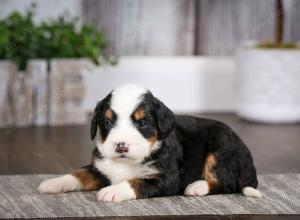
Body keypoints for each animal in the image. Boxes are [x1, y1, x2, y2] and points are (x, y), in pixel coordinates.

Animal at [39, 84, 260, 203]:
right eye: (108, 122)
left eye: (142, 123)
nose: (121, 145)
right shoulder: (100, 168)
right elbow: (79, 173)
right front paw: (53, 183)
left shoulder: (166, 178)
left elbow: (136, 182)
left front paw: (112, 191)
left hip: (221, 146)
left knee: (227, 183)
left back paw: (197, 186)